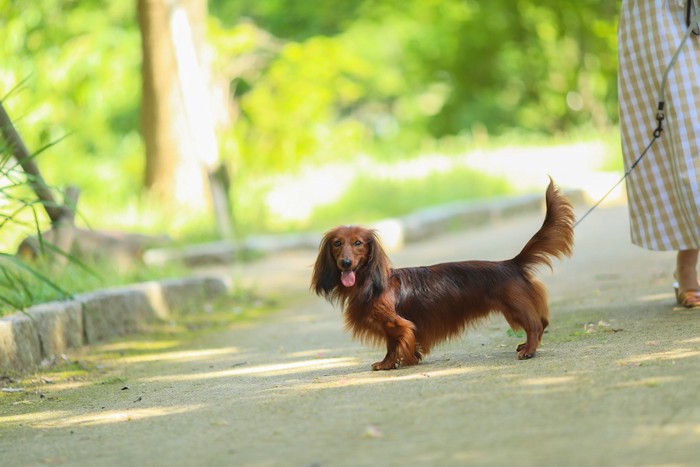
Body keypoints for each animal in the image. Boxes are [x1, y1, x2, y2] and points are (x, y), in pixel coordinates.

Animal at [312, 178, 576, 370]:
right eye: (337, 243)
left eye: (358, 243)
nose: (346, 263)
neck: (371, 283)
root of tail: (511, 264)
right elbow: (399, 343)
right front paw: (409, 358)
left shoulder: (395, 323)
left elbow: (394, 344)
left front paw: (388, 364)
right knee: (541, 323)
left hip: (515, 306)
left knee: (535, 326)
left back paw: (529, 350)